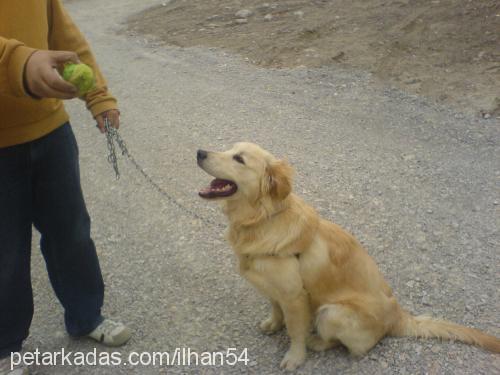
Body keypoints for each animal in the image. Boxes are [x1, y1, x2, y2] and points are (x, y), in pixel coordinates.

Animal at [196, 142, 500, 372]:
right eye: (229, 148)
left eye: (239, 158)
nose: (199, 152)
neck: (262, 219)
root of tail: (398, 315)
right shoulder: (272, 288)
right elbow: (275, 309)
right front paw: (273, 324)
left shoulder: (295, 296)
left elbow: (295, 331)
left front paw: (295, 357)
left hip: (331, 312)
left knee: (350, 347)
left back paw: (318, 343)